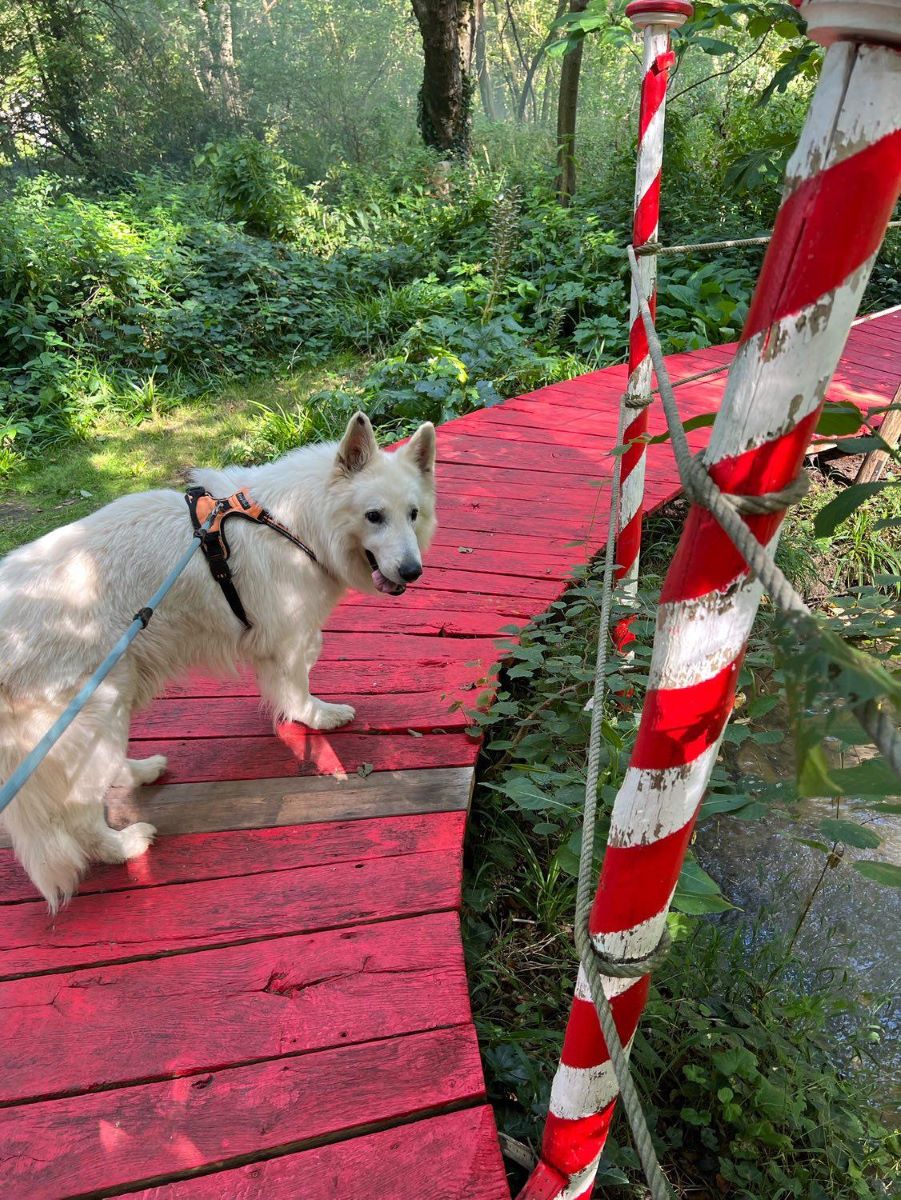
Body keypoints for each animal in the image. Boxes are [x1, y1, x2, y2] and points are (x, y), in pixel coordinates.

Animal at [0, 412, 436, 907]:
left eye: (413, 514)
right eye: (374, 516)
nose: (413, 572)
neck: (295, 524)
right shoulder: (289, 636)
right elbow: (299, 687)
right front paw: (318, 718)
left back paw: (141, 771)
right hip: (94, 710)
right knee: (78, 812)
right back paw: (124, 844)